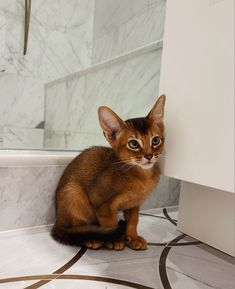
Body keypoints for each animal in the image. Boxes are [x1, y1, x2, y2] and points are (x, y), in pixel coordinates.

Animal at [51, 94, 165, 250]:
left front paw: (133, 238)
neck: (141, 176)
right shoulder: (100, 201)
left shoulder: (134, 205)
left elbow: (133, 222)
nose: (149, 156)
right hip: (73, 192)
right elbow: (110, 223)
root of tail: (57, 221)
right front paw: (115, 240)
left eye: (155, 140)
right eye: (133, 144)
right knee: (76, 229)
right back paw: (92, 238)